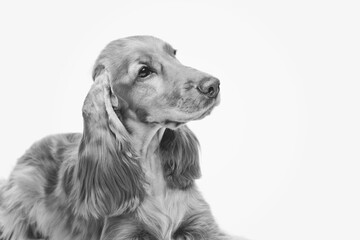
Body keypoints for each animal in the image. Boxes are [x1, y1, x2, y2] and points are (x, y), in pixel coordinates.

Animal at [1, 35, 240, 240]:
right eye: (144, 71)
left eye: (173, 54)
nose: (213, 85)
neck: (151, 166)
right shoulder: (123, 231)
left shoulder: (202, 224)